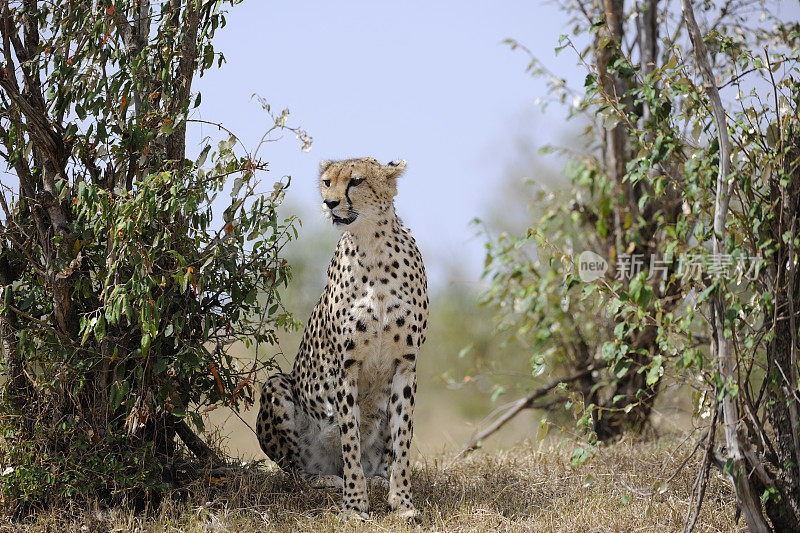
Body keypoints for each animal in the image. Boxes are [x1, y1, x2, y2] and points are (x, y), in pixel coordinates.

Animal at [260, 156, 428, 516]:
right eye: (326, 182)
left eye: (356, 181)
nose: (330, 203)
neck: (373, 247)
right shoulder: (346, 366)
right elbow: (350, 437)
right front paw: (354, 505)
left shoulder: (406, 365)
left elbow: (403, 438)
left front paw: (402, 501)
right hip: (276, 385)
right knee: (295, 468)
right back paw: (323, 478)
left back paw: (378, 478)